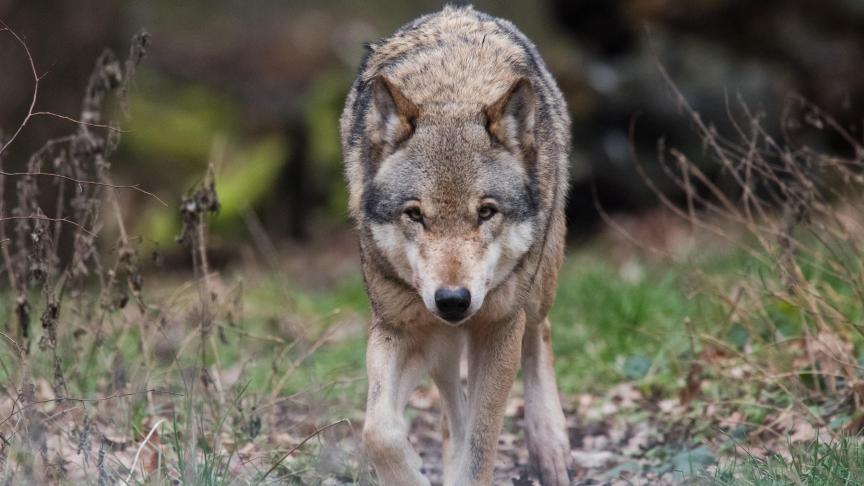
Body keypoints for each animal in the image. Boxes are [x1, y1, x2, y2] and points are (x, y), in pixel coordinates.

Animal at [340, 4, 572, 486]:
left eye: (485, 212)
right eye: (415, 214)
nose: (452, 300)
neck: (453, 92)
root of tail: (459, 10)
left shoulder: (499, 327)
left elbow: (481, 448)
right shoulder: (399, 326)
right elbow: (378, 430)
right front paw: (411, 472)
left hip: (536, 285)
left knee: (539, 332)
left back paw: (550, 445)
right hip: (439, 341)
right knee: (451, 406)